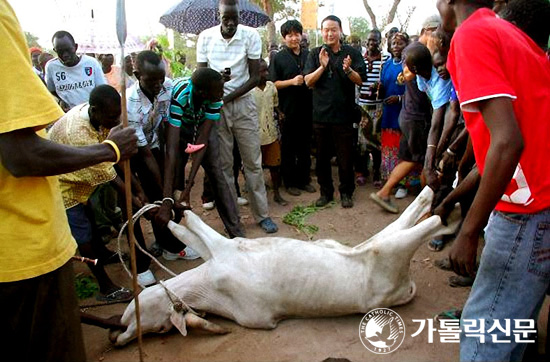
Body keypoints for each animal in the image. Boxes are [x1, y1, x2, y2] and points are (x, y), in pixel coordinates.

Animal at [112, 187, 462, 346]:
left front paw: (166, 209)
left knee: (427, 220)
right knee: (424, 221)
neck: (208, 288)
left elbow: (190, 227)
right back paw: (447, 207)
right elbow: (192, 232)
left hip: (386, 249)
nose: (118, 336)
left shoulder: (224, 248)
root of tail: (408, 287)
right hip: (387, 249)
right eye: (161, 330)